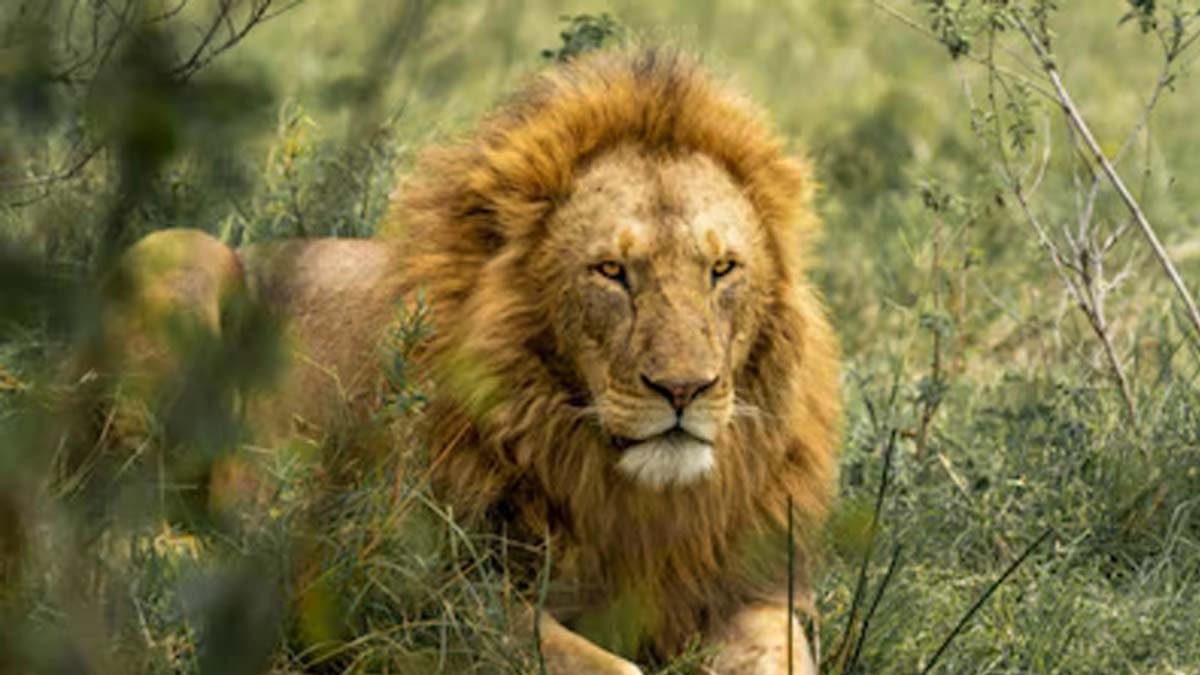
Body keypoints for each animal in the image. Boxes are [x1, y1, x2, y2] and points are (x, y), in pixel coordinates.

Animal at [94, 48, 841, 674]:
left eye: (721, 269)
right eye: (610, 271)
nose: (684, 389)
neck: (620, 489)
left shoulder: (748, 589)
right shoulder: (411, 589)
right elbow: (603, 665)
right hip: (178, 257)